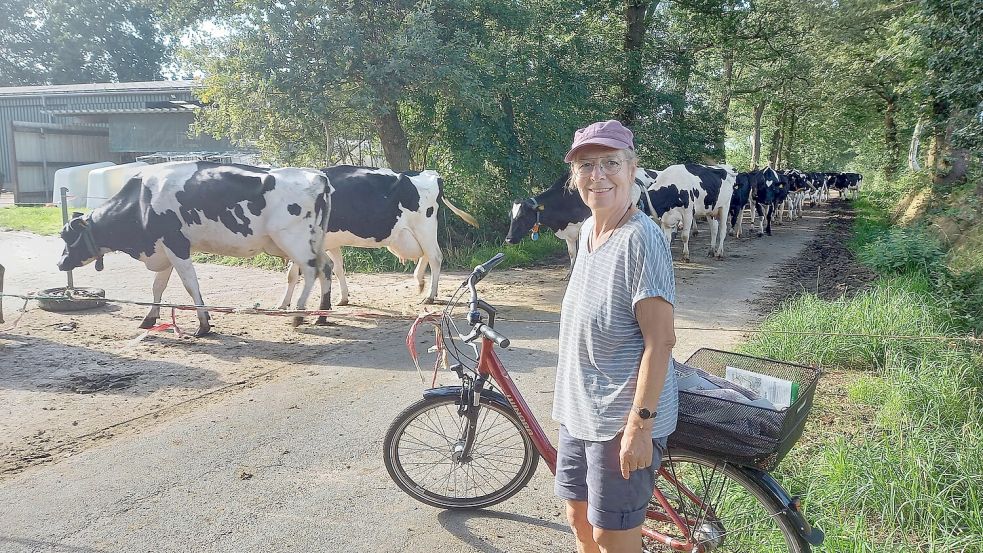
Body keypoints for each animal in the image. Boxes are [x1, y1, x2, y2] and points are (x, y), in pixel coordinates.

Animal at [58, 158, 334, 332]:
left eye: (66, 237)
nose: (60, 263)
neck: (142, 201)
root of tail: (318, 176)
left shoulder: (176, 245)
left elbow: (190, 285)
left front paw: (203, 324)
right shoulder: (163, 250)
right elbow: (157, 287)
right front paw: (149, 318)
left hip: (293, 239)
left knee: (311, 270)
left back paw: (299, 315)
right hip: (315, 239)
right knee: (326, 267)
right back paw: (321, 315)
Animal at [278, 166, 478, 308]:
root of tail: (431, 174)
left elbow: (292, 274)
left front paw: (283, 304)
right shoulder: (330, 242)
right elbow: (339, 268)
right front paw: (343, 298)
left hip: (424, 227)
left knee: (435, 257)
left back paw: (429, 295)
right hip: (417, 232)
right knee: (426, 255)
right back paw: (421, 282)